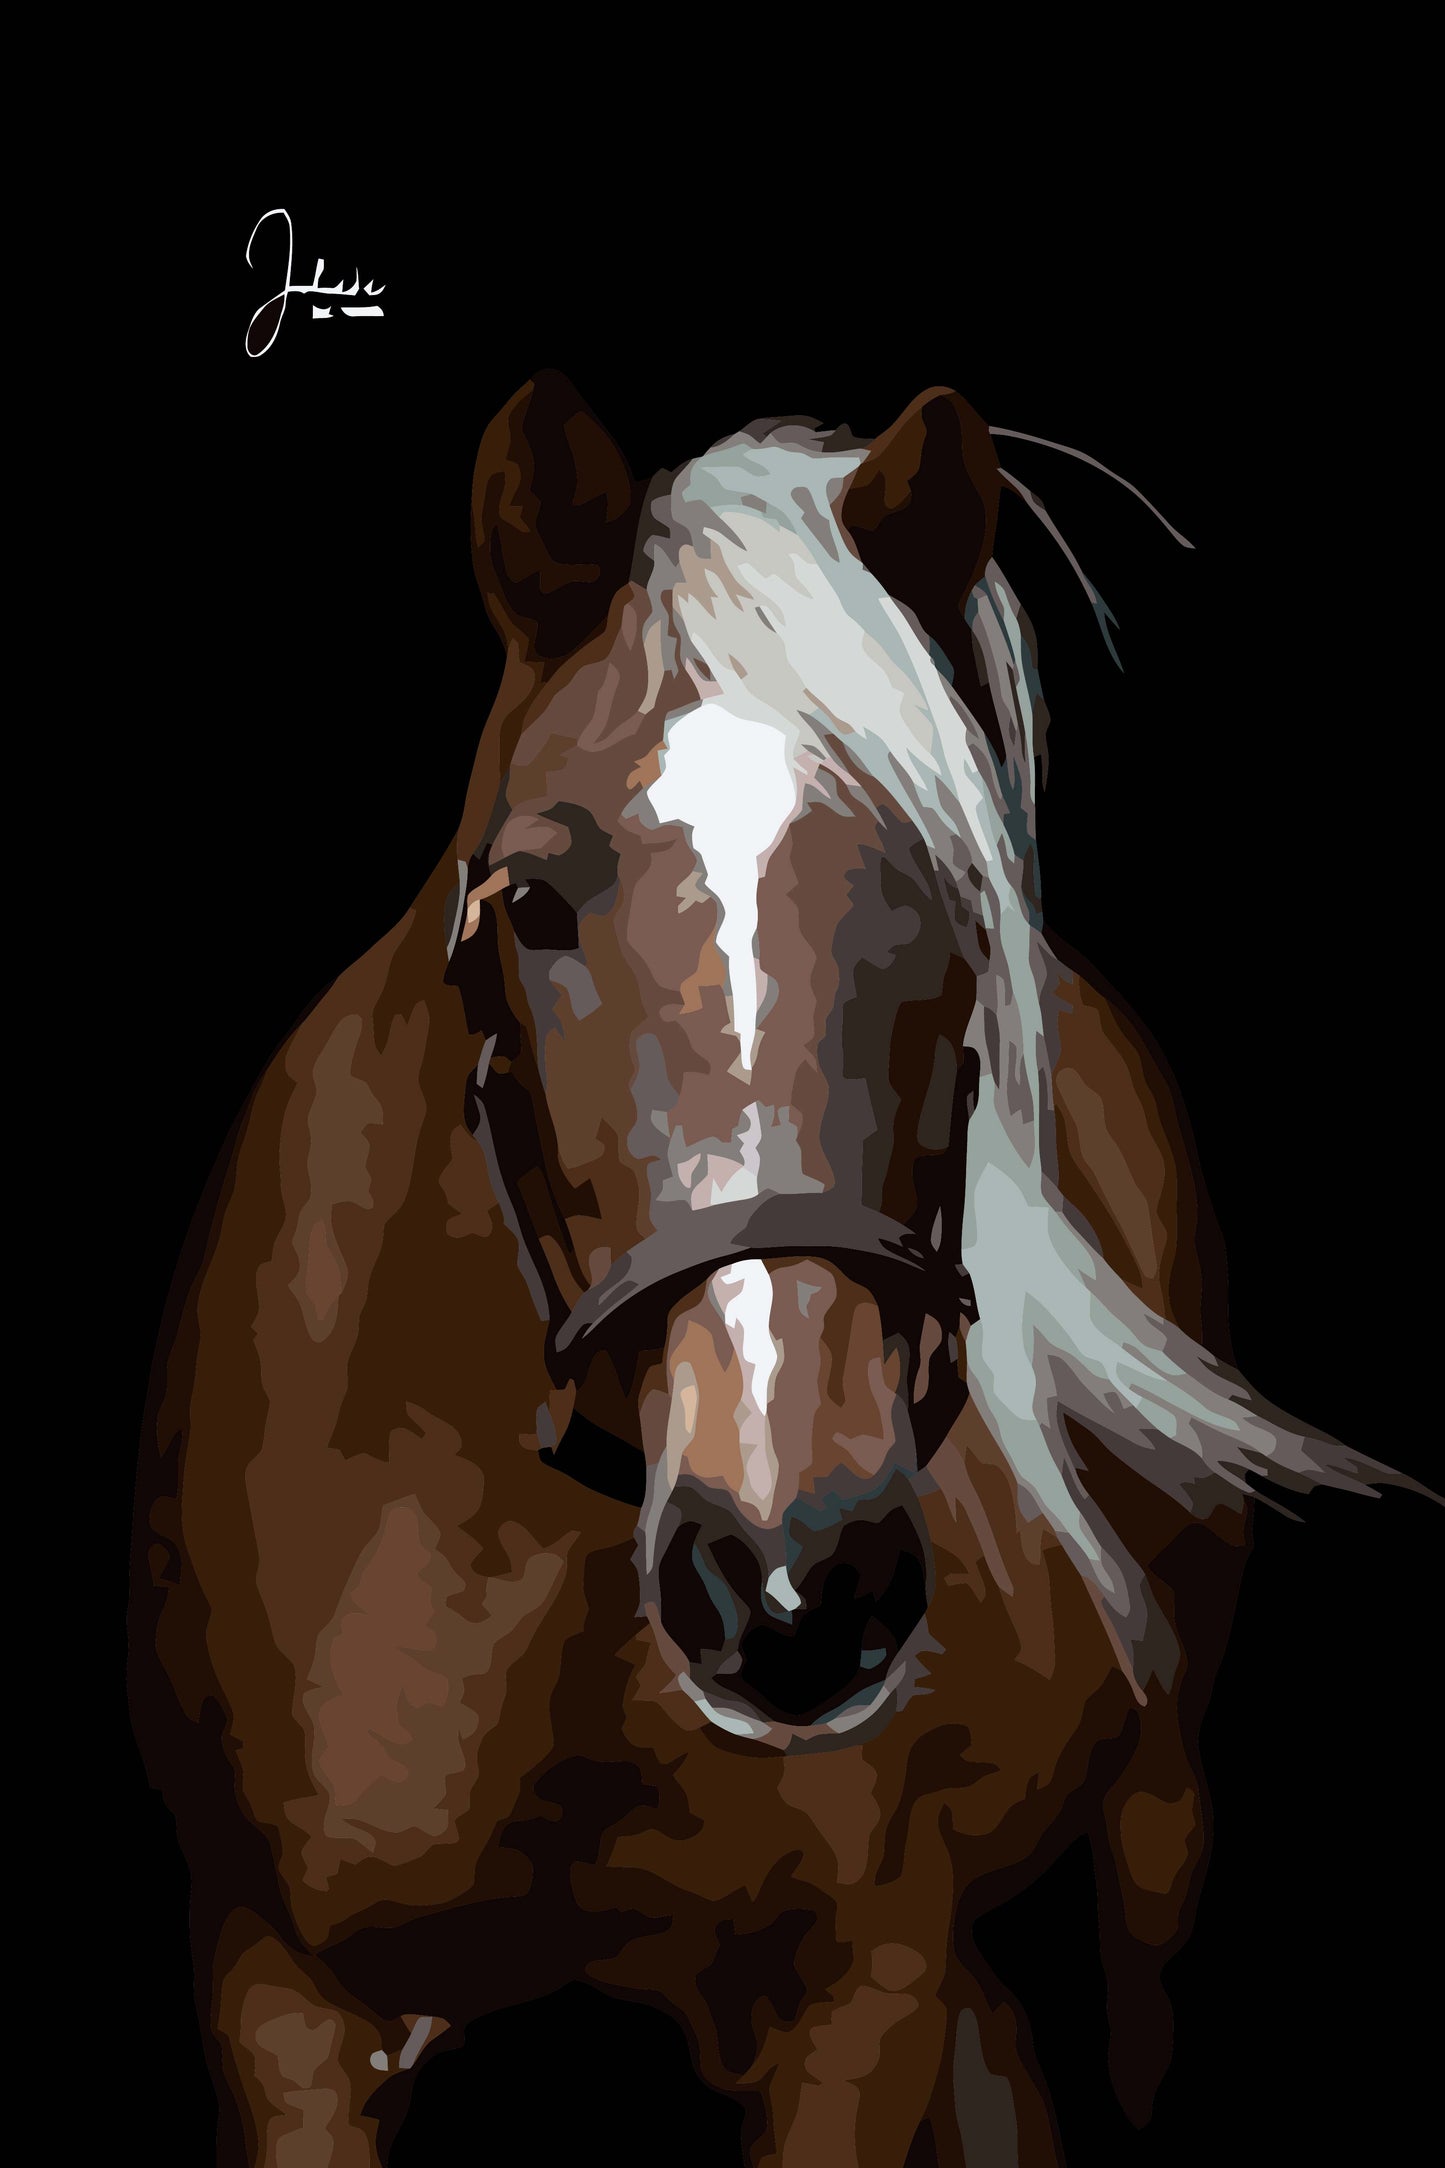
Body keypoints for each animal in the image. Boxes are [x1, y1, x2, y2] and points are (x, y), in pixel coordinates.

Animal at [130, 372, 1425, 2165]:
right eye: (531, 897)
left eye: (954, 905)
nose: (794, 1583)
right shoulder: (283, 2009)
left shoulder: (857, 2003)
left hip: (1154, 1840)